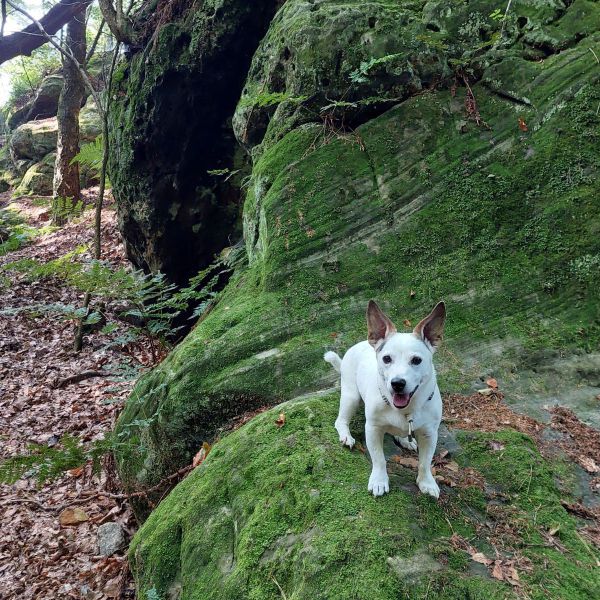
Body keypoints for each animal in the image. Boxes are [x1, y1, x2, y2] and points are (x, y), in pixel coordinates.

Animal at [324, 302, 446, 500]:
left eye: (416, 360)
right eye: (387, 359)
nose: (397, 383)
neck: (404, 410)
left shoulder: (429, 434)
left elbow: (425, 462)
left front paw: (427, 482)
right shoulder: (373, 429)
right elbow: (379, 459)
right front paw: (379, 481)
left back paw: (405, 440)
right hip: (351, 397)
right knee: (340, 421)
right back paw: (346, 436)